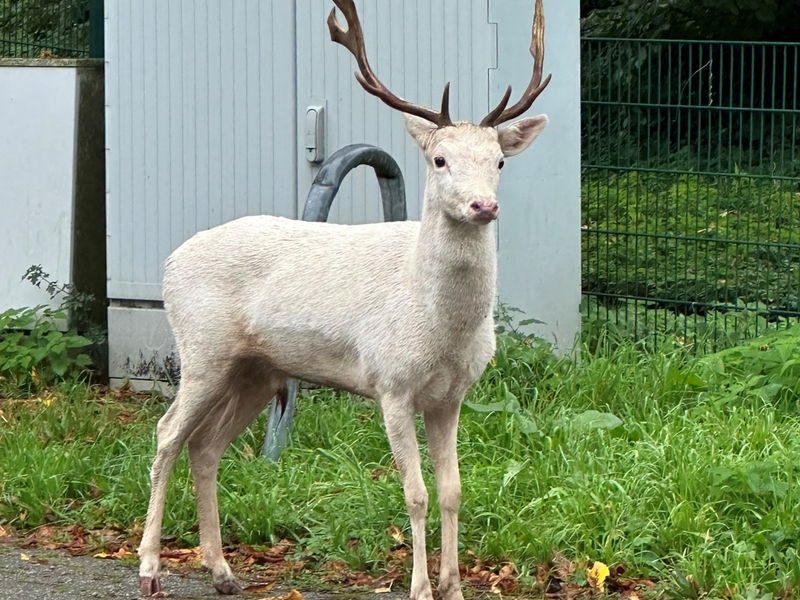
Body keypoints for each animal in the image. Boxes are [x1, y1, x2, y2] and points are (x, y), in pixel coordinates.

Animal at [137, 0, 551, 597]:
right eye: (439, 160)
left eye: (499, 161)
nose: (483, 206)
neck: (441, 329)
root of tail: (169, 264)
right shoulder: (391, 383)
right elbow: (416, 493)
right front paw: (420, 588)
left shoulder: (452, 396)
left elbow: (453, 491)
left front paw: (454, 586)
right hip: (202, 348)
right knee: (168, 434)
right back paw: (149, 568)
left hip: (254, 369)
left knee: (206, 445)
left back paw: (222, 571)